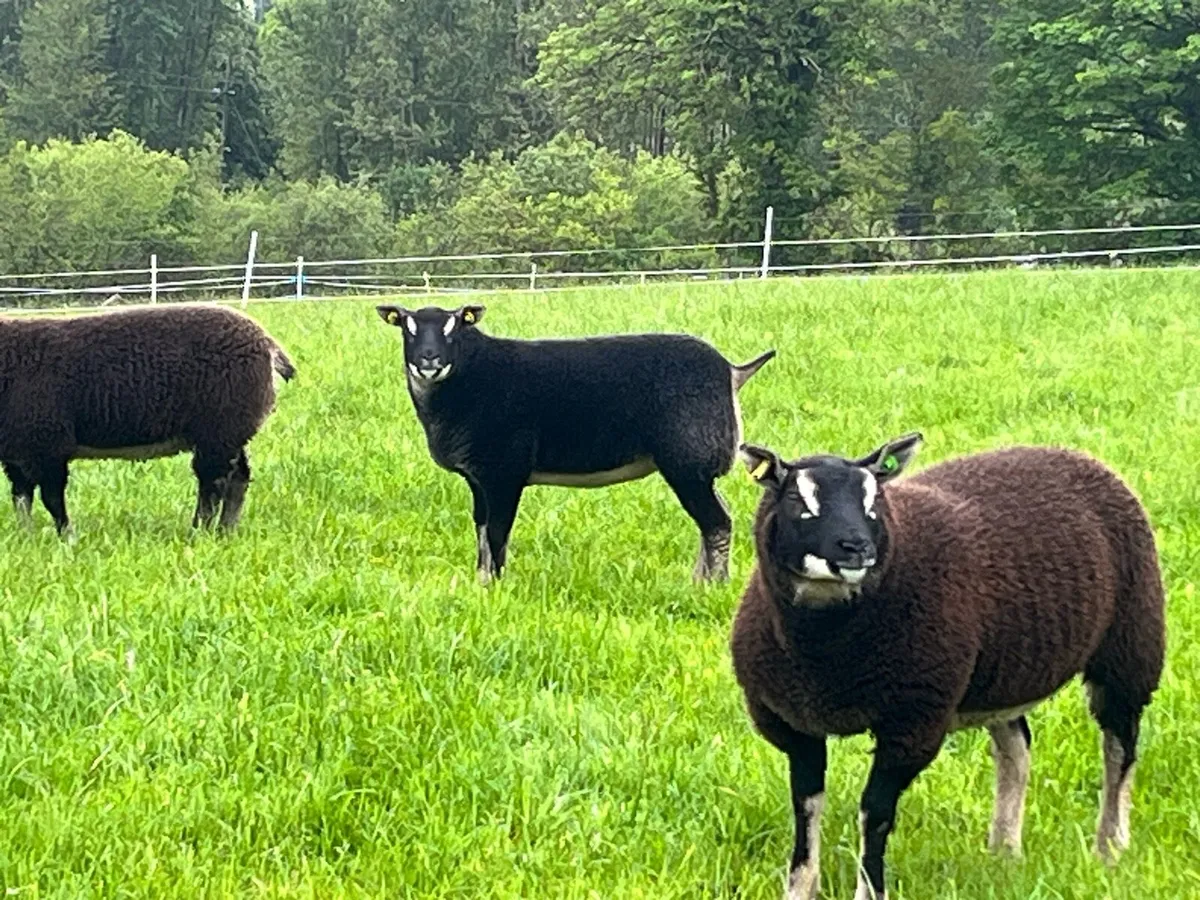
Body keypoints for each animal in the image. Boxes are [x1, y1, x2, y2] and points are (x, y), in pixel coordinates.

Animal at [0, 303, 295, 535]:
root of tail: (269, 346)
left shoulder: (48, 445)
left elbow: (51, 499)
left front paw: (67, 537)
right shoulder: (17, 453)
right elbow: (22, 498)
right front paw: (26, 537)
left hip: (219, 430)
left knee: (213, 483)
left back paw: (199, 531)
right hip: (231, 432)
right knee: (238, 478)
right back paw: (226, 530)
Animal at [376, 303, 775, 582]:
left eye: (453, 329)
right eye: (407, 329)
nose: (429, 359)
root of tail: (732, 371)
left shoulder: (504, 473)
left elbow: (498, 533)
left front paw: (497, 587)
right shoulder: (477, 478)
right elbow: (482, 530)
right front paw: (481, 582)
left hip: (688, 459)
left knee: (716, 522)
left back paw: (712, 585)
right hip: (696, 467)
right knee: (716, 517)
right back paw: (698, 580)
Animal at [732, 433, 1165, 900]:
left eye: (874, 497)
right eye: (797, 498)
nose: (858, 548)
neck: (822, 651)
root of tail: (1071, 452)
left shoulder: (912, 722)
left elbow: (874, 814)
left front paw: (870, 889)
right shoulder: (793, 724)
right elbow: (806, 808)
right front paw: (799, 887)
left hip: (1130, 644)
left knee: (1119, 747)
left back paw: (1110, 846)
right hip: (1002, 674)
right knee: (1016, 748)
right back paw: (1004, 852)